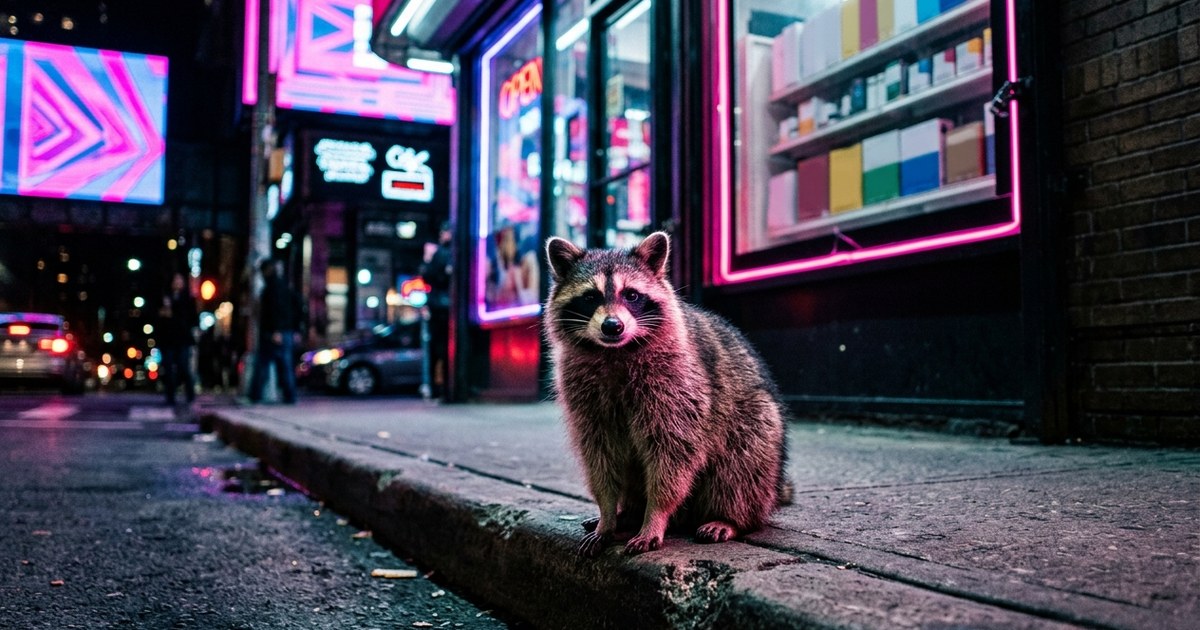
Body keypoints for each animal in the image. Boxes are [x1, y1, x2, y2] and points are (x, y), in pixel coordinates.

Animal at [544, 232, 790, 557]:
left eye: (631, 295)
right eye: (590, 297)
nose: (612, 326)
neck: (615, 351)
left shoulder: (679, 385)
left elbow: (673, 454)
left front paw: (656, 516)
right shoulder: (583, 395)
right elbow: (599, 454)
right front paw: (607, 514)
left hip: (759, 429)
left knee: (741, 465)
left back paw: (729, 518)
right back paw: (627, 513)